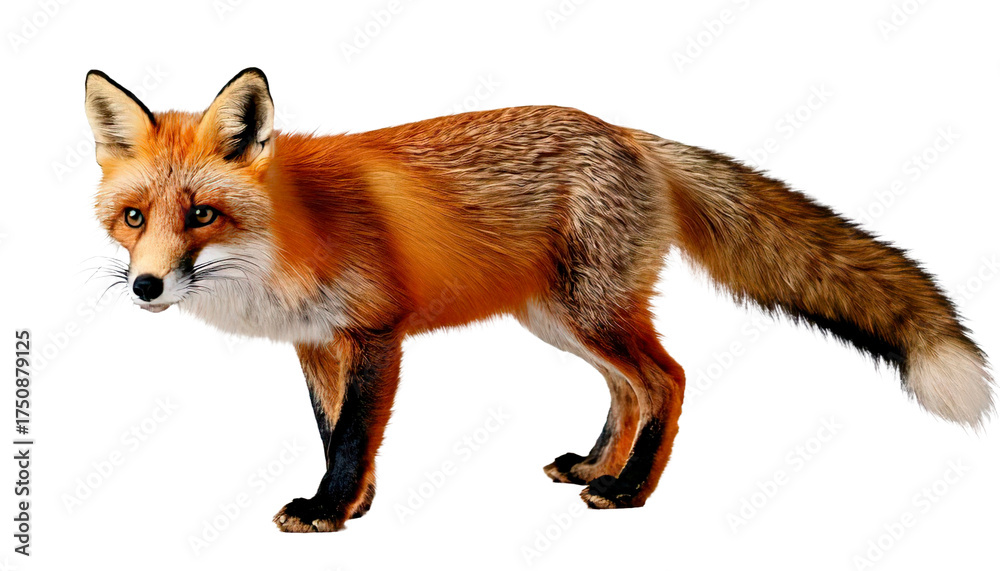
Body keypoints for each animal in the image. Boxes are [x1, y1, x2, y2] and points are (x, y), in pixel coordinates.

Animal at [85, 67, 993, 532]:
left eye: (202, 214)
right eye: (134, 218)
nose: (147, 285)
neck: (289, 234)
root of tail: (629, 134)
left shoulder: (376, 331)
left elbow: (349, 435)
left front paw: (332, 507)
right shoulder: (316, 343)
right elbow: (335, 427)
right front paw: (358, 501)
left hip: (589, 312)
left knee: (667, 380)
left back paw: (628, 492)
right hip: (561, 319)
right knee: (628, 389)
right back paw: (598, 463)